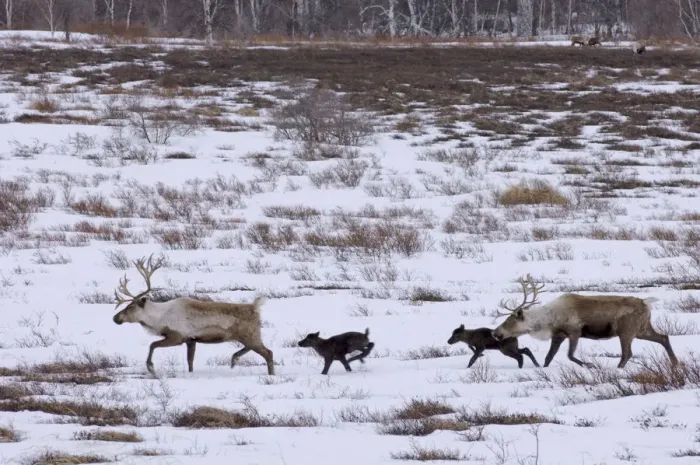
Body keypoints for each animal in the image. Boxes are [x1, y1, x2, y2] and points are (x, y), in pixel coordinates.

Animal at [112, 254, 275, 376]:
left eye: (130, 306)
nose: (115, 318)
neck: (159, 319)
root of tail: (255, 307)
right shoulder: (191, 340)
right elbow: (190, 361)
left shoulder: (177, 336)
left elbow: (152, 345)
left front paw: (150, 367)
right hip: (249, 336)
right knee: (251, 349)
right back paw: (234, 359)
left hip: (250, 335)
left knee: (268, 353)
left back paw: (270, 374)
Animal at [491, 274, 678, 369]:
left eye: (509, 320)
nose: (495, 332)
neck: (549, 320)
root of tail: (646, 303)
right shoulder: (558, 335)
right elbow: (548, 357)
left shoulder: (574, 331)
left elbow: (570, 355)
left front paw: (590, 365)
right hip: (642, 329)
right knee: (664, 337)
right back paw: (675, 363)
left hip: (627, 331)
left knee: (627, 353)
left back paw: (617, 369)